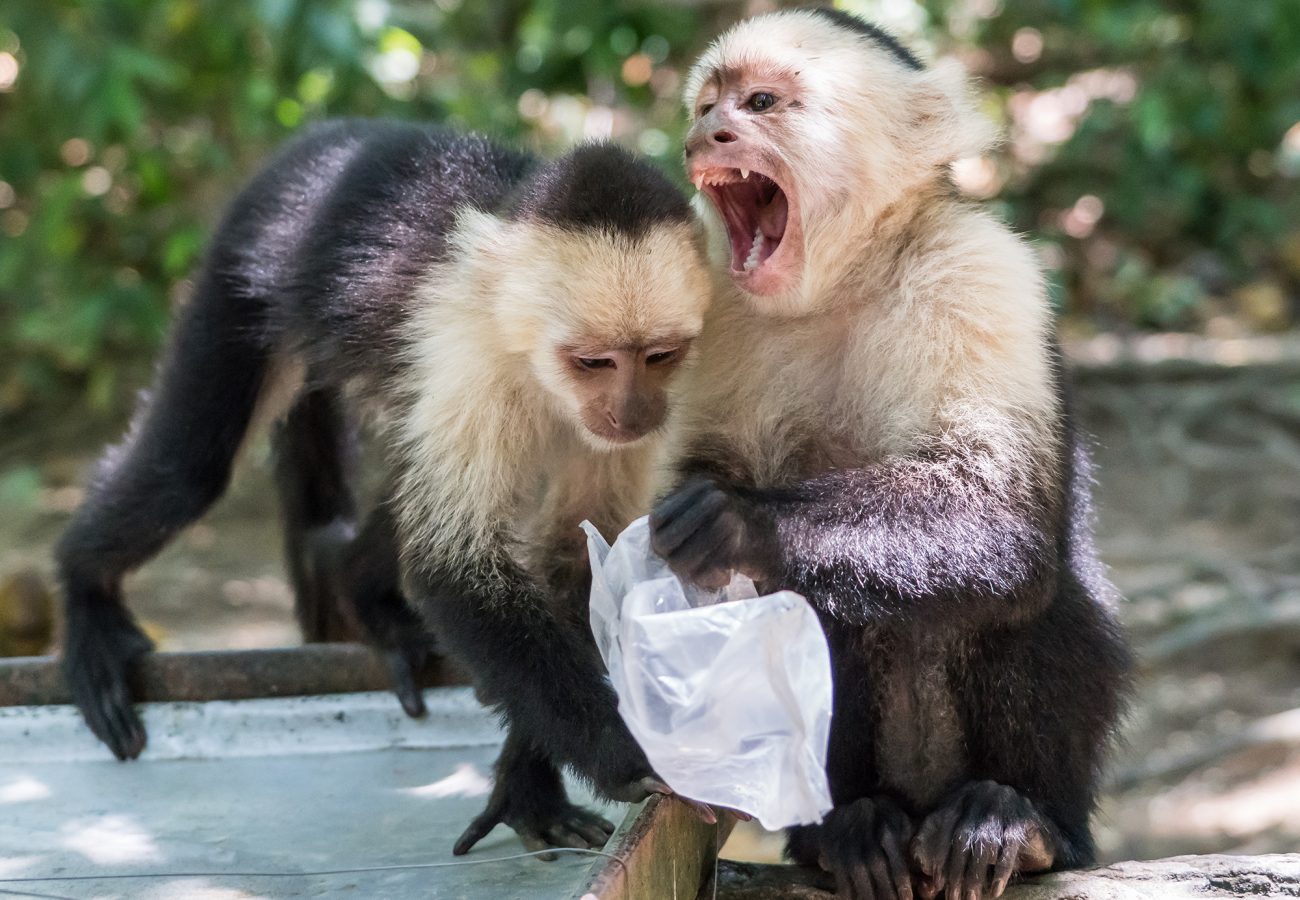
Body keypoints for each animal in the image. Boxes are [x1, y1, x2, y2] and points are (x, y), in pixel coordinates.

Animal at [55, 121, 717, 858]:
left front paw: (527, 784)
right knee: (187, 471)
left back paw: (356, 584)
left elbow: (575, 564)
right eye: (595, 362)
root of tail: (331, 133)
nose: (632, 412)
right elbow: (454, 572)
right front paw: (623, 754)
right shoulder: (471, 361)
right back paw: (86, 597)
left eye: (658, 356)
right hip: (250, 258)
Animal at [655, 12, 1133, 900]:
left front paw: (738, 525)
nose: (709, 134)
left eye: (761, 103)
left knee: (1032, 587)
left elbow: (997, 513)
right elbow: (700, 472)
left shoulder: (977, 267)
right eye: (707, 105)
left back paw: (1021, 822)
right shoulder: (717, 311)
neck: (846, 279)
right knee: (820, 605)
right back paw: (846, 827)